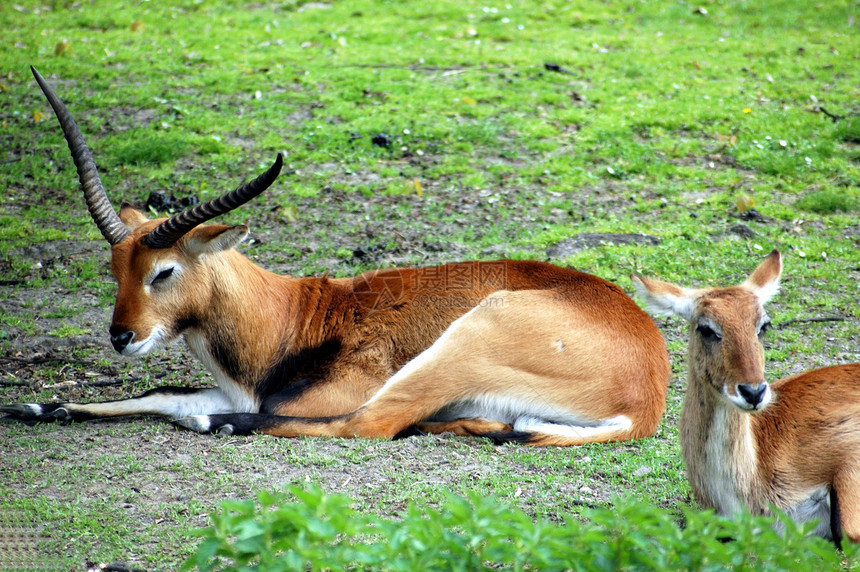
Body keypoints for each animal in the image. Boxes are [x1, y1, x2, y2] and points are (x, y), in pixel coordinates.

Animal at [0, 66, 672, 442]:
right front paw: (35, 405)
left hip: (458, 345)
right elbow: (159, 393)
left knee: (372, 424)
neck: (289, 317)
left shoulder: (308, 394)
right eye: (114, 269)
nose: (121, 337)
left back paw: (212, 427)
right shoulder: (234, 390)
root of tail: (645, 390)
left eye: (163, 270)